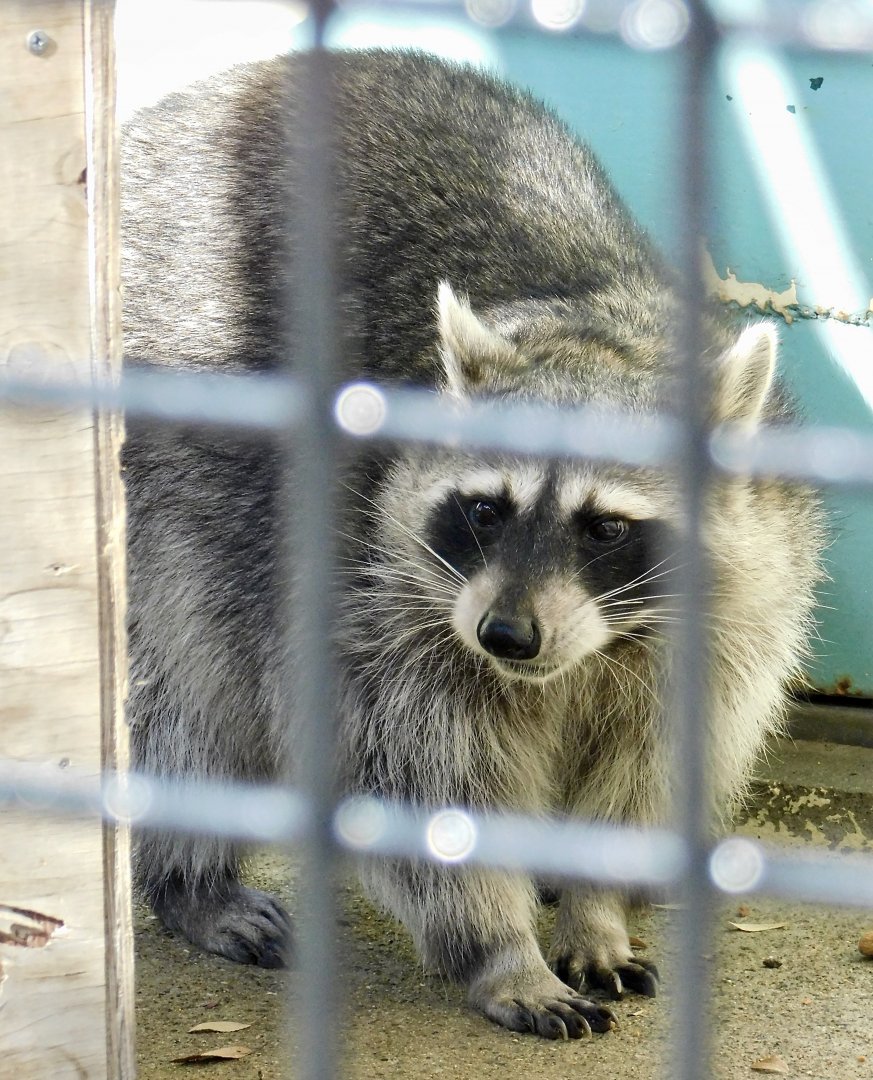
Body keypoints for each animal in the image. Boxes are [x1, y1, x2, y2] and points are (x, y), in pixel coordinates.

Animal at [121, 50, 824, 1039]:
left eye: (606, 526)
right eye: (487, 510)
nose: (506, 636)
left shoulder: (731, 620)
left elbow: (650, 767)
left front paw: (594, 909)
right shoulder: (377, 602)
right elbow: (420, 778)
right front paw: (502, 951)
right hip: (164, 494)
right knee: (184, 689)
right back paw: (193, 879)